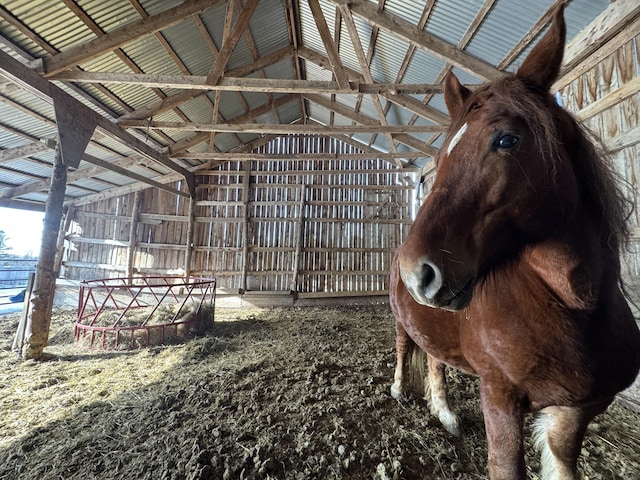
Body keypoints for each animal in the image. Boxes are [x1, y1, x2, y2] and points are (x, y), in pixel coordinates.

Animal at [388, 6, 640, 480]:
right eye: (439, 159)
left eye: (506, 140)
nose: (417, 273)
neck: (574, 304)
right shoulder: (499, 398)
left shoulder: (576, 413)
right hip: (400, 321)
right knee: (404, 346)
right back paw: (399, 389)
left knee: (433, 357)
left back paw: (444, 413)